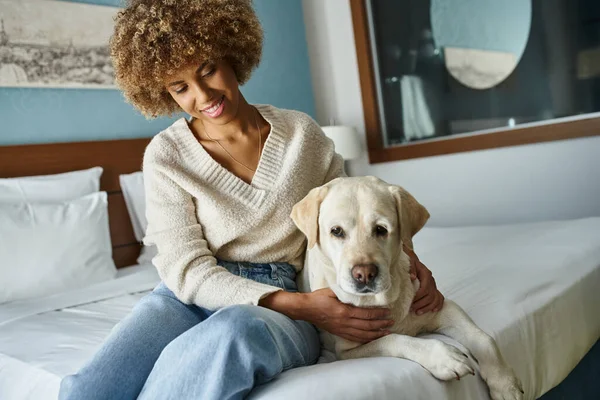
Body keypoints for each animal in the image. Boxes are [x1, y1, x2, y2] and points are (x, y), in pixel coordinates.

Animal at [292, 178, 524, 400]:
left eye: (381, 229)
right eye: (336, 231)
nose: (364, 274)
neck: (386, 300)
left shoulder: (441, 308)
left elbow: (485, 339)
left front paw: (505, 384)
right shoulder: (347, 351)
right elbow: (394, 339)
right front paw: (444, 357)